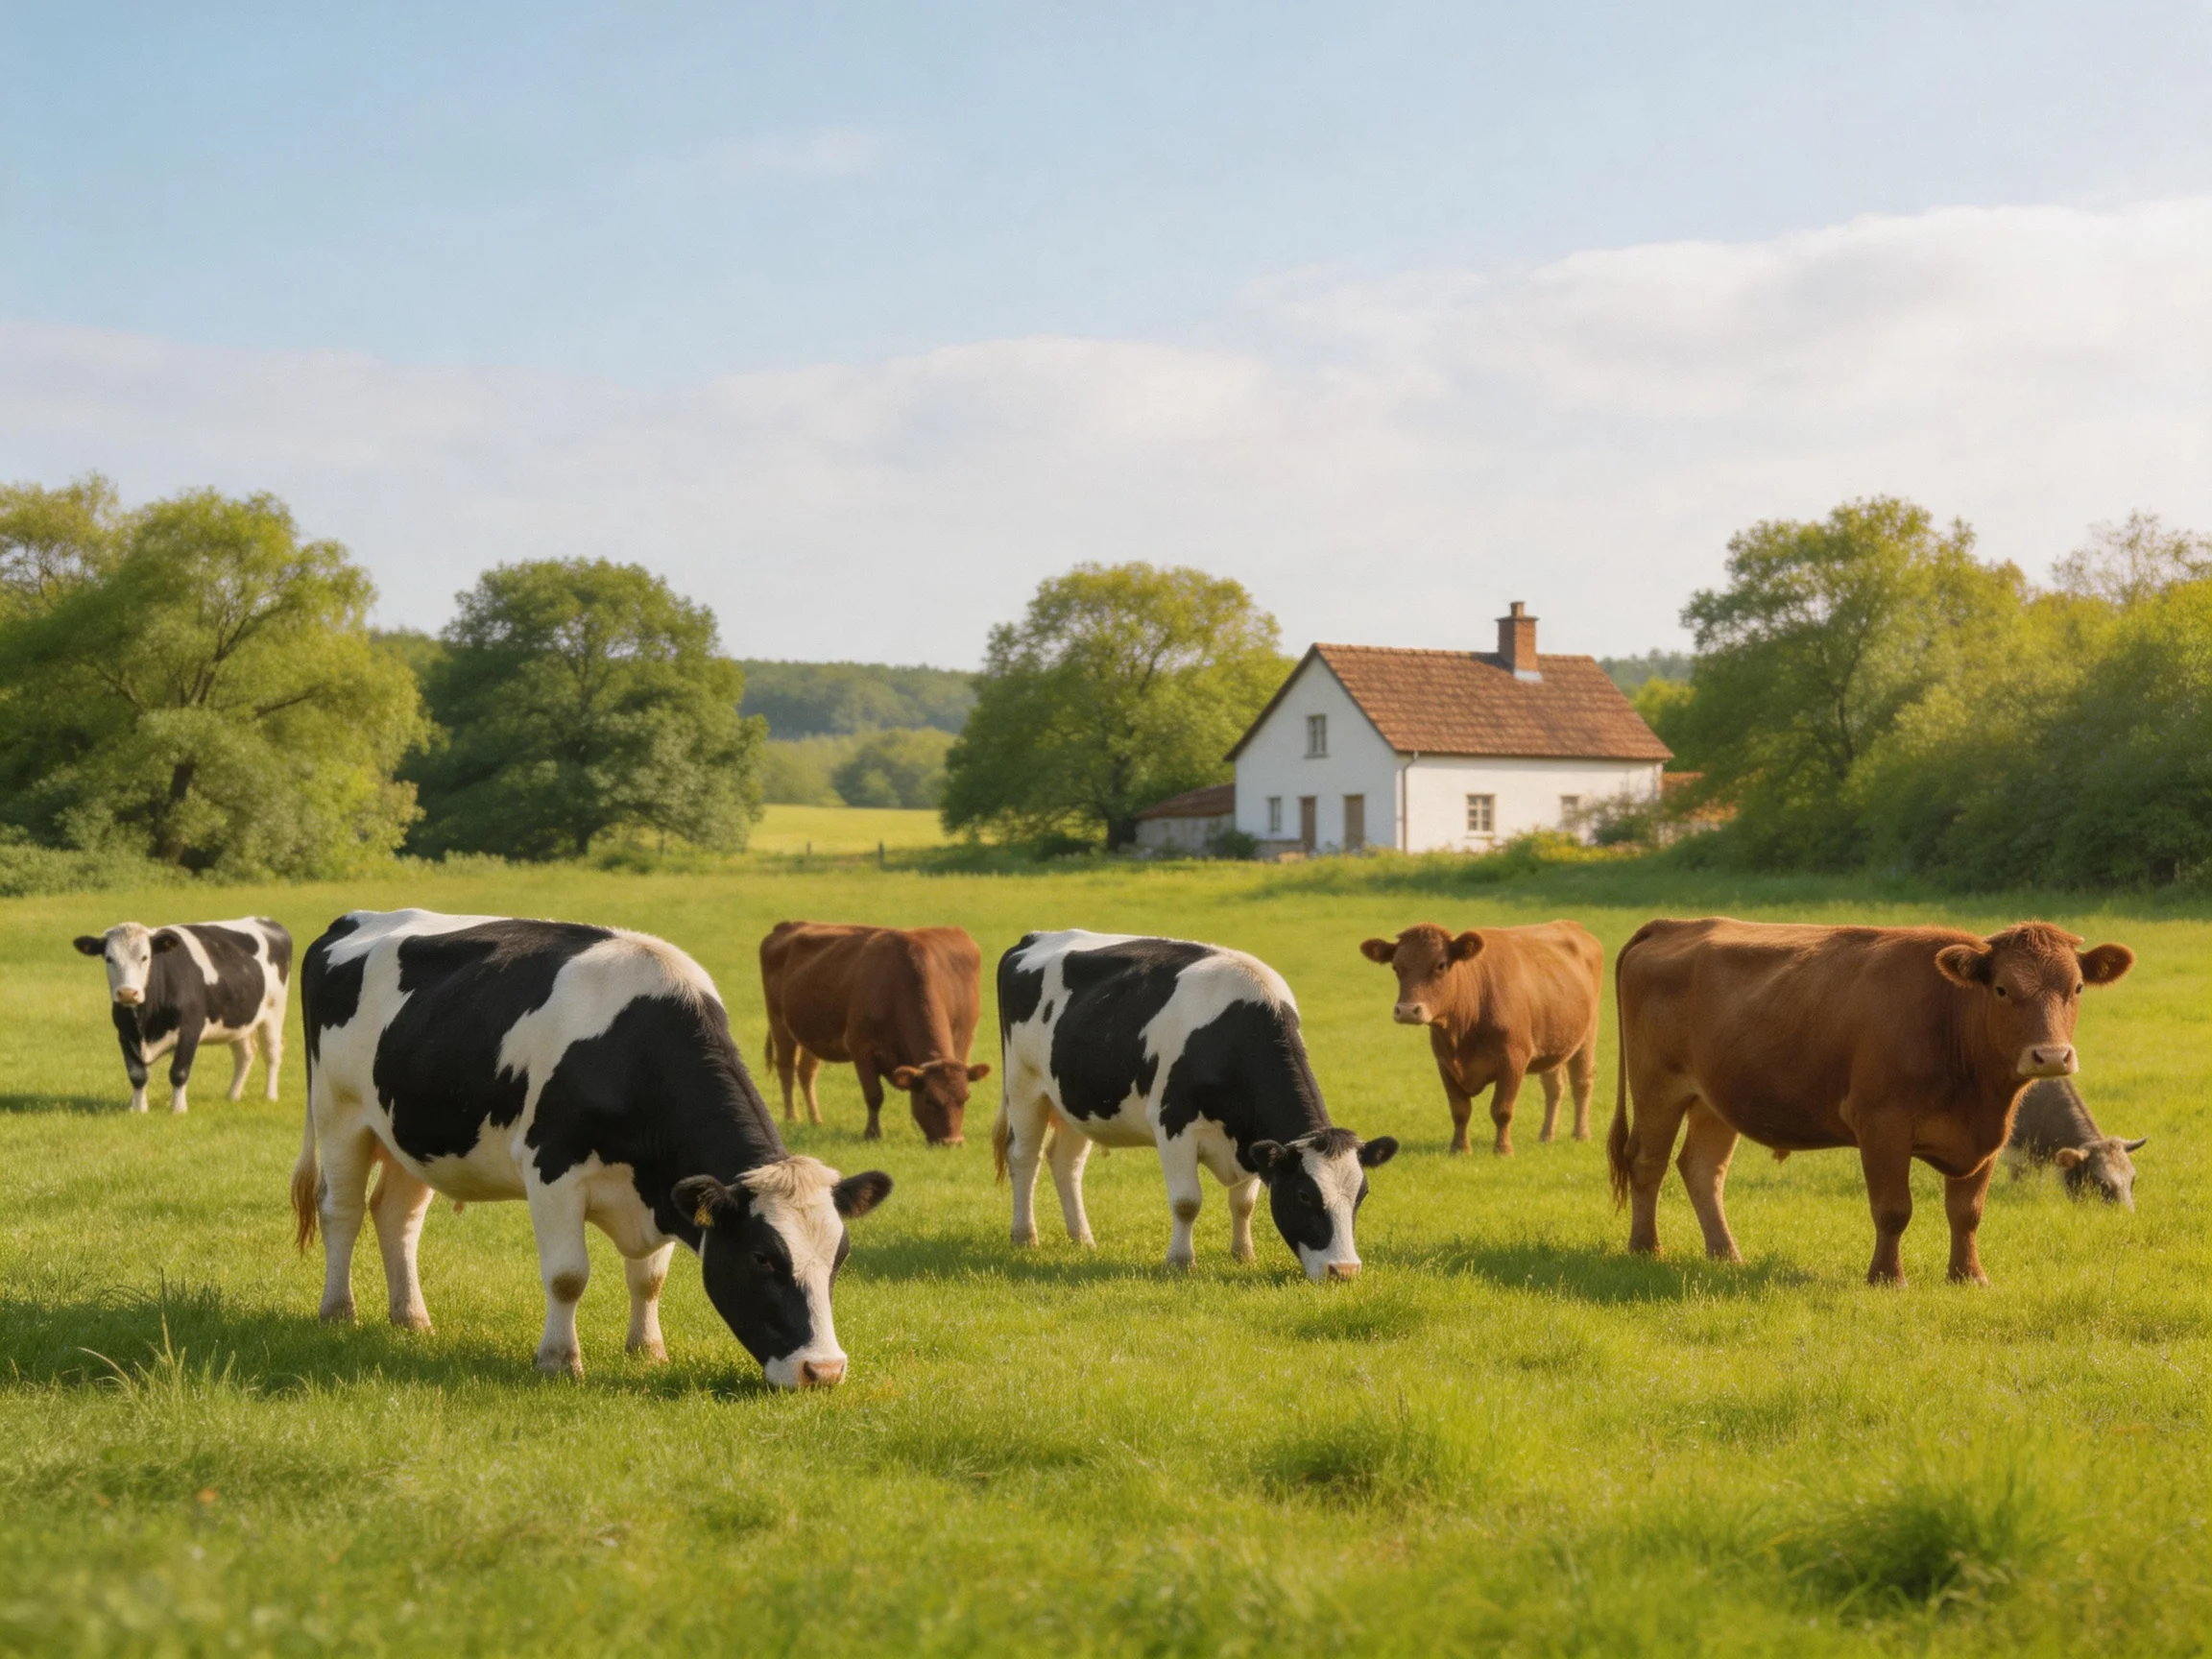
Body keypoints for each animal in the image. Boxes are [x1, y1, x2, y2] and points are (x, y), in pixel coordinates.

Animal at [72, 918, 291, 1114]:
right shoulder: (125, 1034)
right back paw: (233, 1096)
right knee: (245, 1054)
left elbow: (179, 1072)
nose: (127, 993)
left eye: (145, 957)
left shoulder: (190, 1031)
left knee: (272, 1053)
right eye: (109, 958)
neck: (145, 1024)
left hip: (274, 1011)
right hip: (238, 1020)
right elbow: (137, 1074)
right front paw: (138, 1109)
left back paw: (270, 1096)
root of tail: (268, 922)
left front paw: (178, 1108)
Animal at [292, 909, 893, 1388]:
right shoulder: (552, 1172)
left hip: (409, 1134)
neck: (634, 1052)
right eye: (763, 1257)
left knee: (396, 1217)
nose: (824, 1371)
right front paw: (559, 1361)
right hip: (339, 1113)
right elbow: (567, 1275)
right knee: (342, 1210)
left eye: (841, 1256)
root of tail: (355, 919)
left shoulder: (663, 1187)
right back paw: (338, 1312)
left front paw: (647, 1351)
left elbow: (649, 1279)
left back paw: (411, 1319)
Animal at [759, 921, 988, 1145]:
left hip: (811, 1032)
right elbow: (874, 1096)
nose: (952, 1142)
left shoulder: (964, 1043)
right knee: (786, 1069)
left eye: (965, 1098)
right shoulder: (862, 1049)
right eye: (930, 1100)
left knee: (806, 1072)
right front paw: (872, 1134)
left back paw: (816, 1120)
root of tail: (787, 925)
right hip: (778, 1021)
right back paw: (792, 1118)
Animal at [993, 930, 1397, 1282]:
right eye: (1304, 1195)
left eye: (1362, 1195)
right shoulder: (1174, 1125)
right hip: (1024, 1085)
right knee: (1024, 1158)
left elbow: (1243, 1203)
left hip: (1074, 1101)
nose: (1344, 1271)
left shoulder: (1251, 1138)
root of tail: (1035, 937)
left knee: (1066, 1163)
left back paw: (1083, 1239)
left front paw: (1243, 1255)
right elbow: (1187, 1202)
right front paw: (1181, 1261)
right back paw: (1025, 1236)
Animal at [1359, 920, 1602, 1155]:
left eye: (1440, 965)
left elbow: (1502, 1109)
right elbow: (1460, 1110)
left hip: (1587, 1035)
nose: (1408, 1011)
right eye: (1396, 966)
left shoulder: (1514, 1059)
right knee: (1554, 1087)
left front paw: (1503, 1150)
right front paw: (1459, 1149)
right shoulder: (1445, 1063)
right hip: (1554, 1041)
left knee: (1582, 1083)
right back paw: (1546, 1136)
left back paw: (1581, 1134)